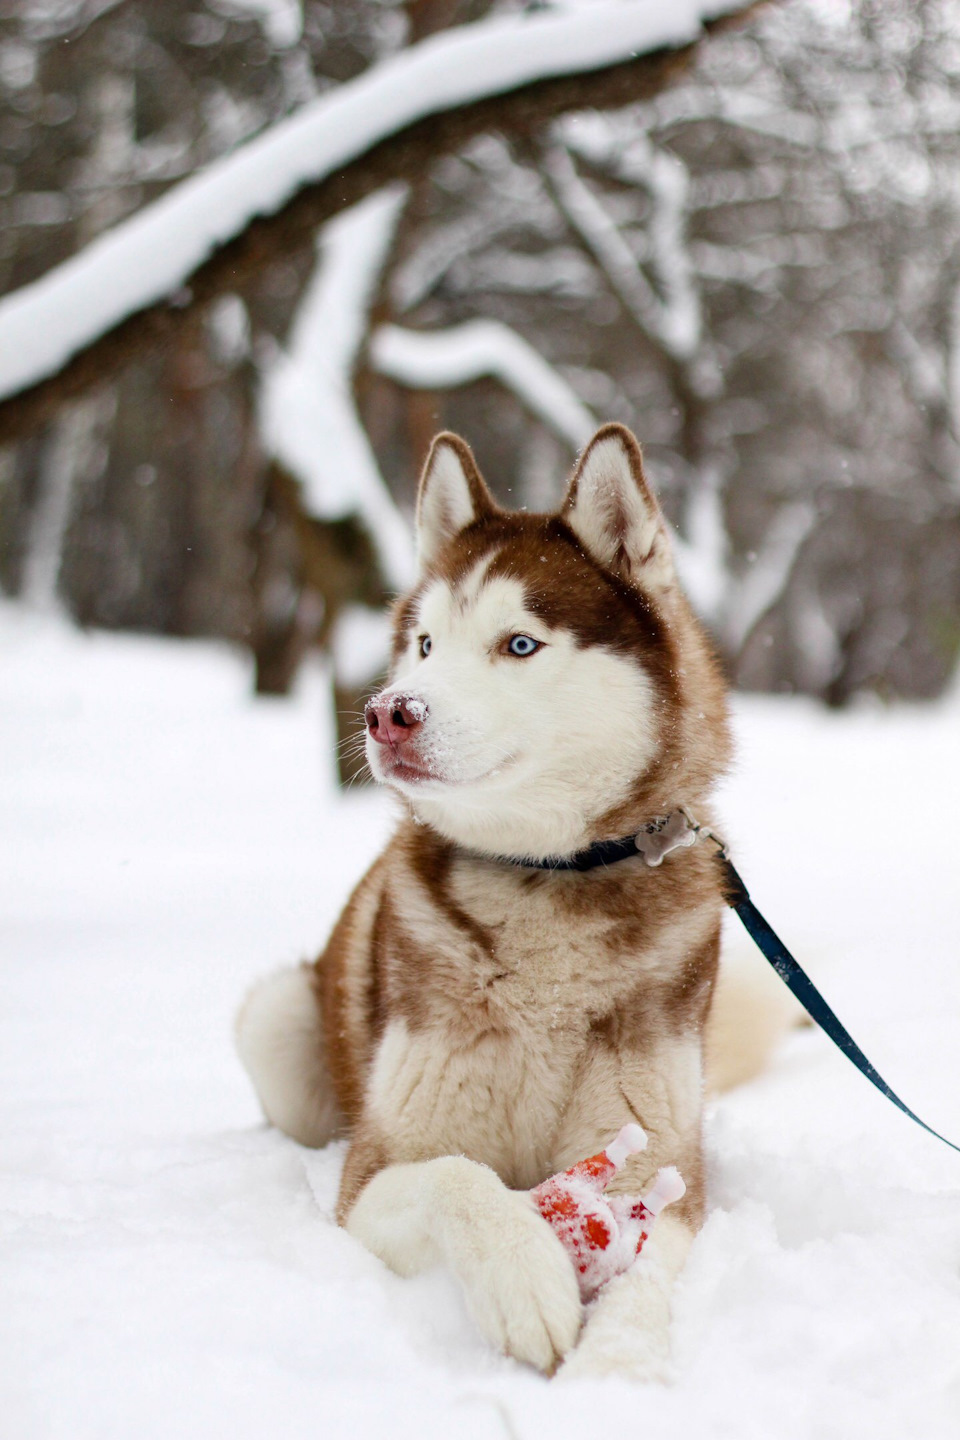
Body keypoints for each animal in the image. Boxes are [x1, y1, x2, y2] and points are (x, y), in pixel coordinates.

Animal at [236, 426, 777, 1382]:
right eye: (423, 643)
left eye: (518, 645)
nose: (388, 714)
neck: (547, 876)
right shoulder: (375, 1174)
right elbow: (462, 1178)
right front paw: (528, 1280)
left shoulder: (661, 1175)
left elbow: (646, 1273)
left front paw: (616, 1370)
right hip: (276, 1025)